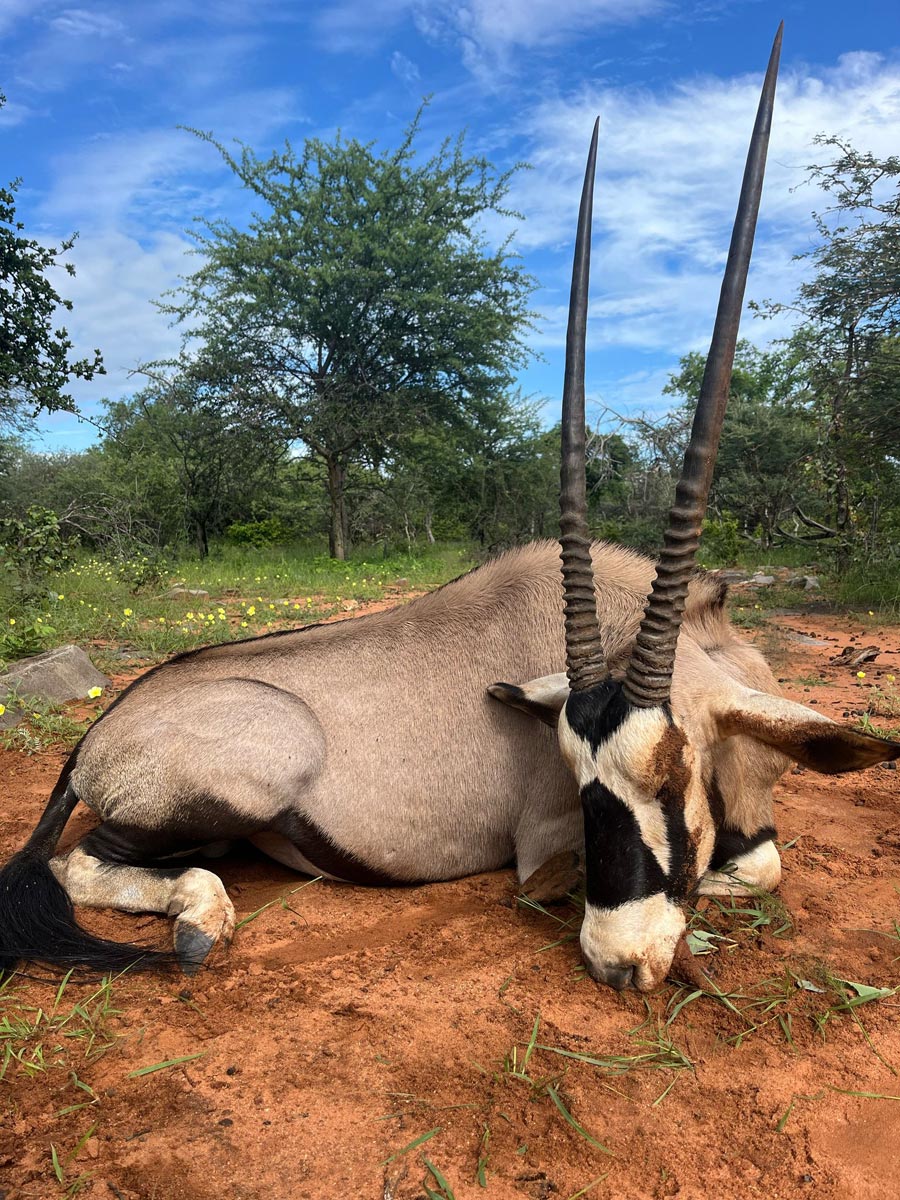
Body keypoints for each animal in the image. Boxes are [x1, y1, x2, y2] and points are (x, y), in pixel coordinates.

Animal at [1, 25, 897, 991]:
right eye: (577, 781)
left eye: (671, 776)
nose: (618, 962)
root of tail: (97, 736)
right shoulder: (542, 849)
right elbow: (752, 867)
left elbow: (759, 858)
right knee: (80, 861)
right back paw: (202, 923)